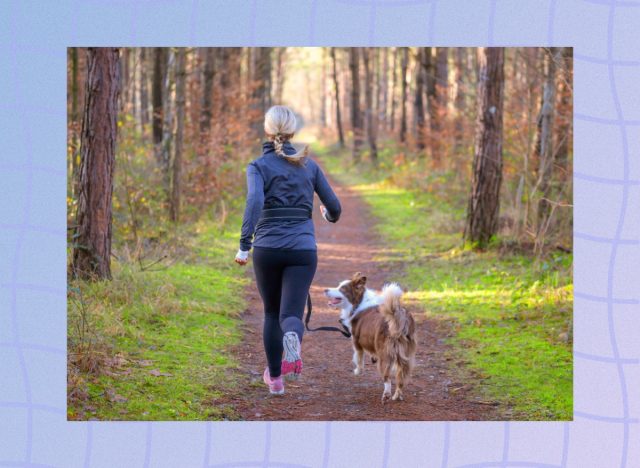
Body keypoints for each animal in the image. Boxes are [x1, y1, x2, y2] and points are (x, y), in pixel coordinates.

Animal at [322, 274, 418, 402]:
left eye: (342, 289)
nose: (325, 290)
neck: (359, 302)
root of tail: (399, 318)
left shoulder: (356, 341)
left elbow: (358, 359)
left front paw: (357, 371)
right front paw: (372, 358)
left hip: (385, 355)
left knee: (387, 378)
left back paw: (386, 395)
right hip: (406, 356)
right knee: (401, 379)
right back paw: (397, 396)